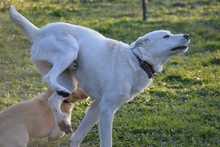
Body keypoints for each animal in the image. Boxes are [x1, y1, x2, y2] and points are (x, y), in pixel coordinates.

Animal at [9, 6, 190, 147]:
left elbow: (76, 138)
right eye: (166, 36)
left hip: (69, 82)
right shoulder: (106, 109)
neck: (138, 61)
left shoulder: (95, 107)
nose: (187, 35)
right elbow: (106, 141)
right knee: (48, 79)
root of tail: (39, 32)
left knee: (52, 100)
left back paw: (63, 122)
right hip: (69, 51)